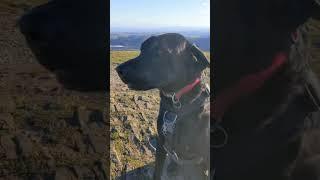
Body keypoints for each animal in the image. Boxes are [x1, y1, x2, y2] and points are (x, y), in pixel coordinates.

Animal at [116, 33, 211, 179]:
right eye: (142, 49)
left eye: (160, 51)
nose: (118, 70)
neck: (176, 106)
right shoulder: (161, 144)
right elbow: (157, 171)